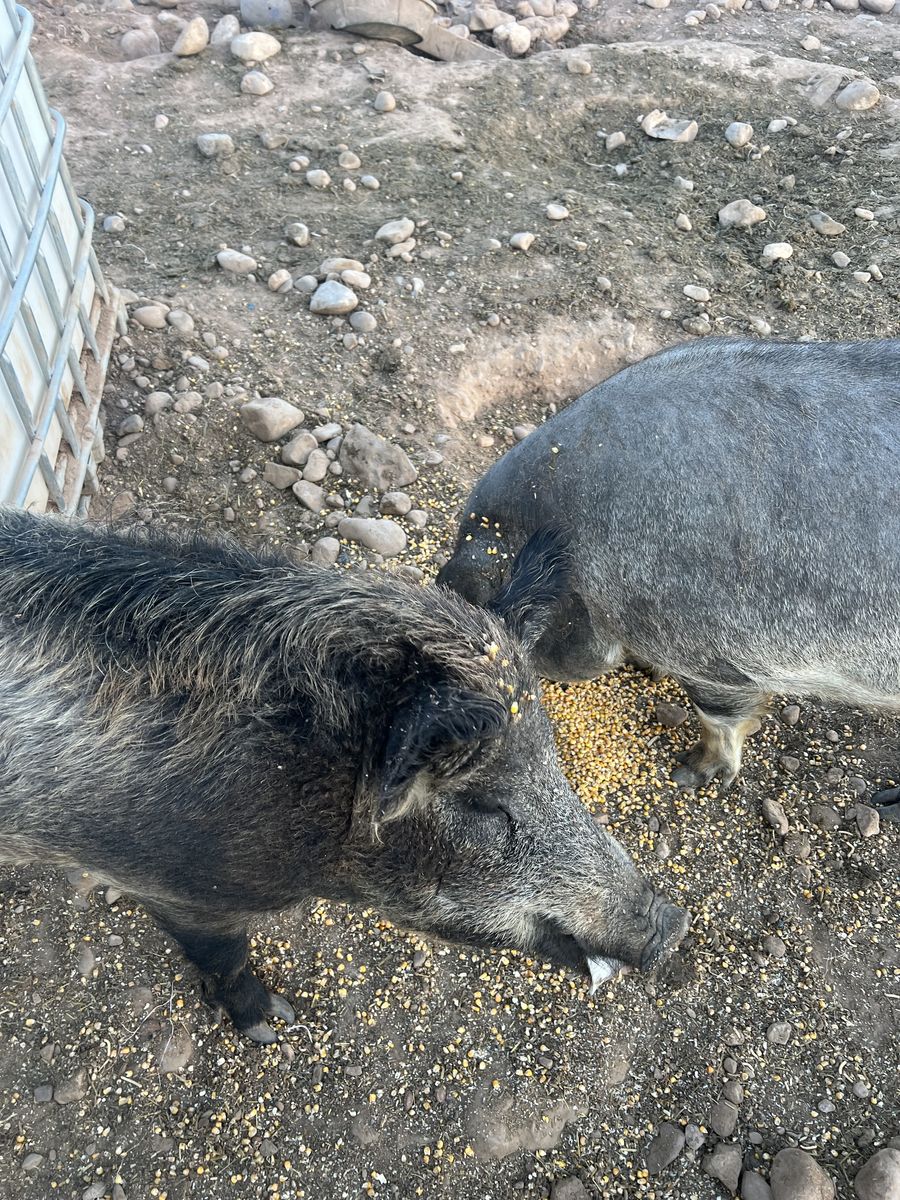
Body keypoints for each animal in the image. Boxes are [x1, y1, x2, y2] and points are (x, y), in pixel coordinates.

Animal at [0, 509, 688, 1043]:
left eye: (555, 763)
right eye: (483, 806)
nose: (674, 924)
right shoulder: (179, 890)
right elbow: (225, 957)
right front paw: (274, 1024)